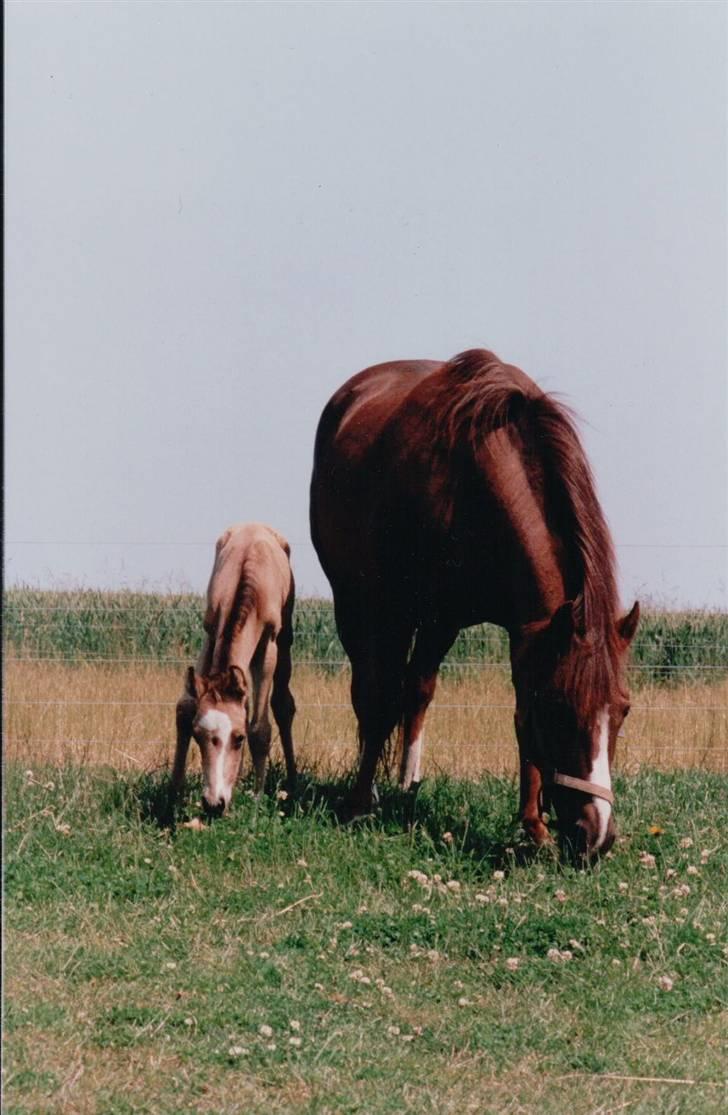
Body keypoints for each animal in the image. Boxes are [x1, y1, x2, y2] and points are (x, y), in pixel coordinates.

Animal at [170, 521, 294, 820]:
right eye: (197, 735)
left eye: (239, 739)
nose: (214, 804)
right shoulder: (212, 628)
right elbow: (185, 707)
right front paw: (173, 794)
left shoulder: (269, 644)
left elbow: (260, 728)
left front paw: (257, 804)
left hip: (285, 636)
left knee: (283, 704)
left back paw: (293, 781)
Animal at [309, 352, 637, 856]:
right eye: (560, 710)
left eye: (623, 710)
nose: (596, 836)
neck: (470, 486)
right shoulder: (393, 608)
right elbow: (379, 700)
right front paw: (360, 804)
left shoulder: (522, 629)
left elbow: (518, 717)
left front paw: (533, 825)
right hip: (357, 604)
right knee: (370, 692)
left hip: (434, 624)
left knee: (418, 688)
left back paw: (407, 780)